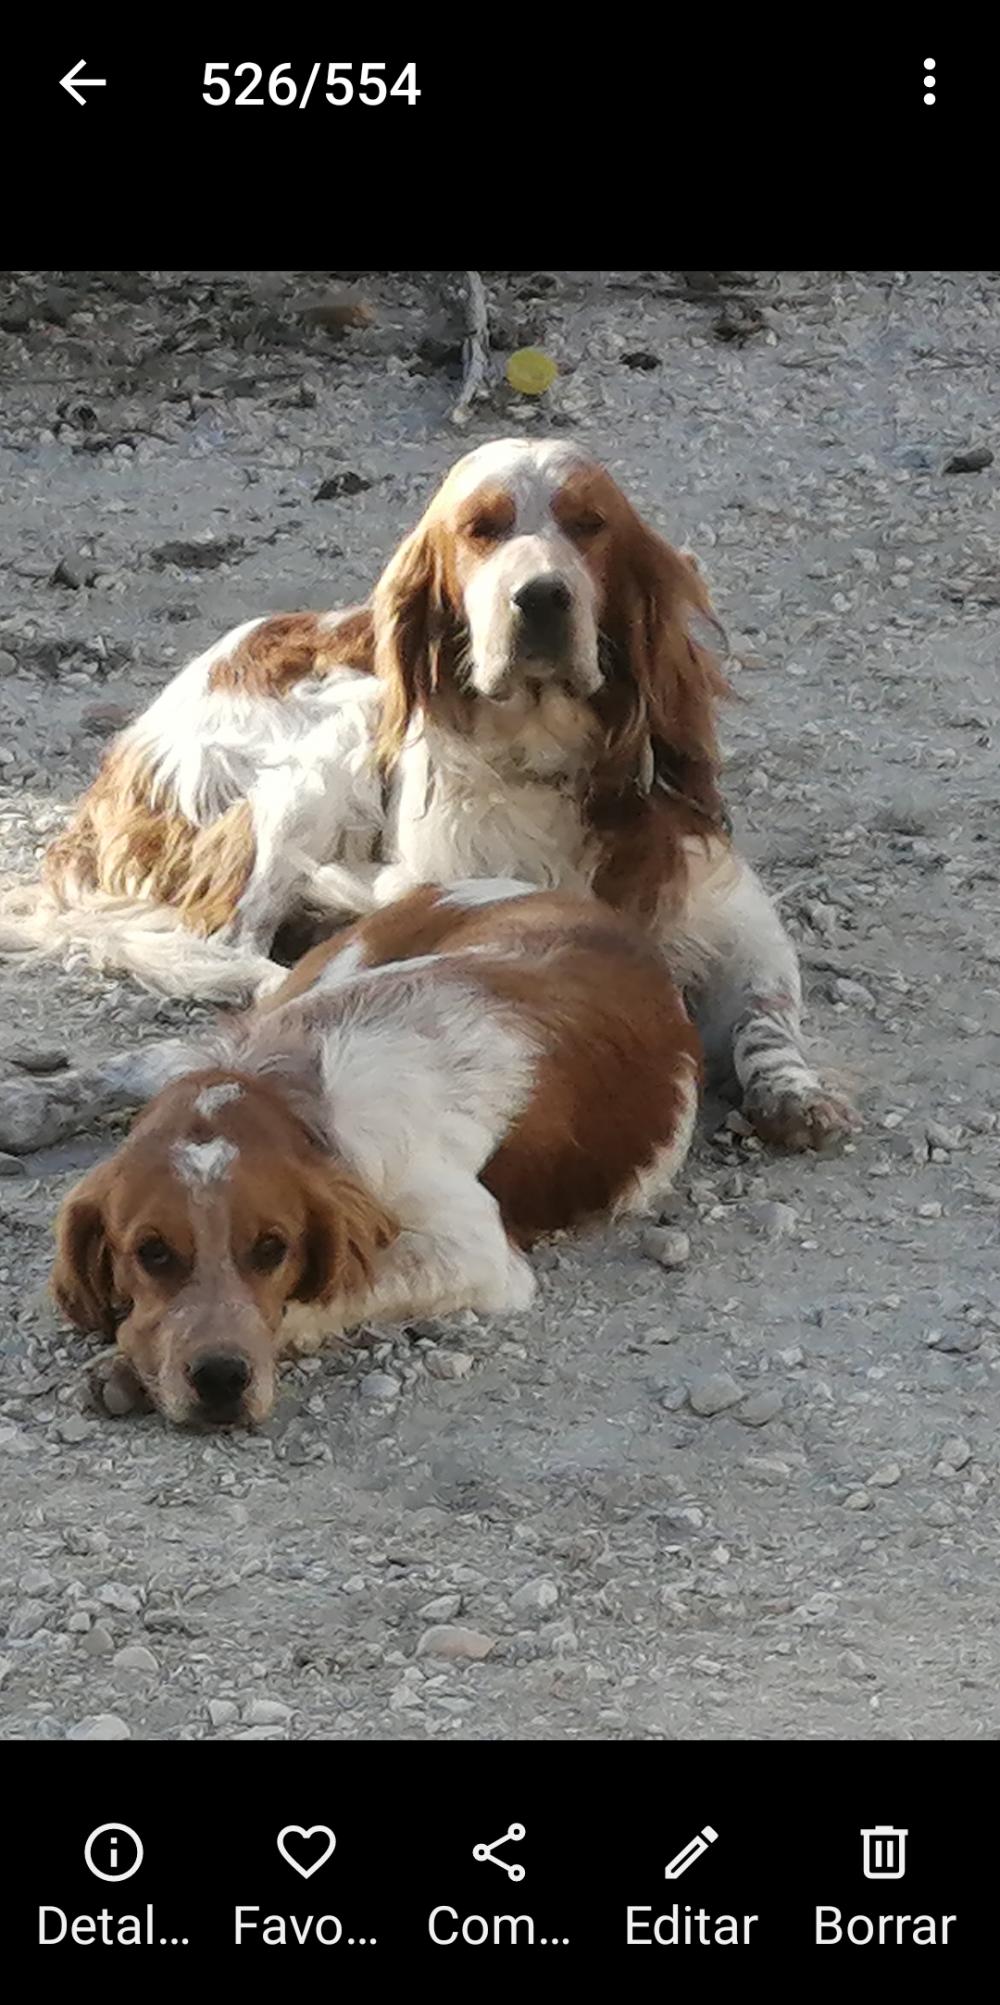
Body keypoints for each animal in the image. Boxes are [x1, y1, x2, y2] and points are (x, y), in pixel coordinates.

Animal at [3, 445, 857, 1154]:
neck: (541, 764)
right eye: (481, 530)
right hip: (333, 739)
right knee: (238, 946)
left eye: (590, 525)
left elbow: (767, 1012)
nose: (541, 596)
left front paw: (792, 1090)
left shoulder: (730, 912)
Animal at [50, 890, 701, 1427]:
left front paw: (131, 1367)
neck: (294, 1094)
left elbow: (330, 1289)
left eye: (272, 1249)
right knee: (159, 1056)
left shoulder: (475, 1253)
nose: (220, 1380)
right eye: (152, 1252)